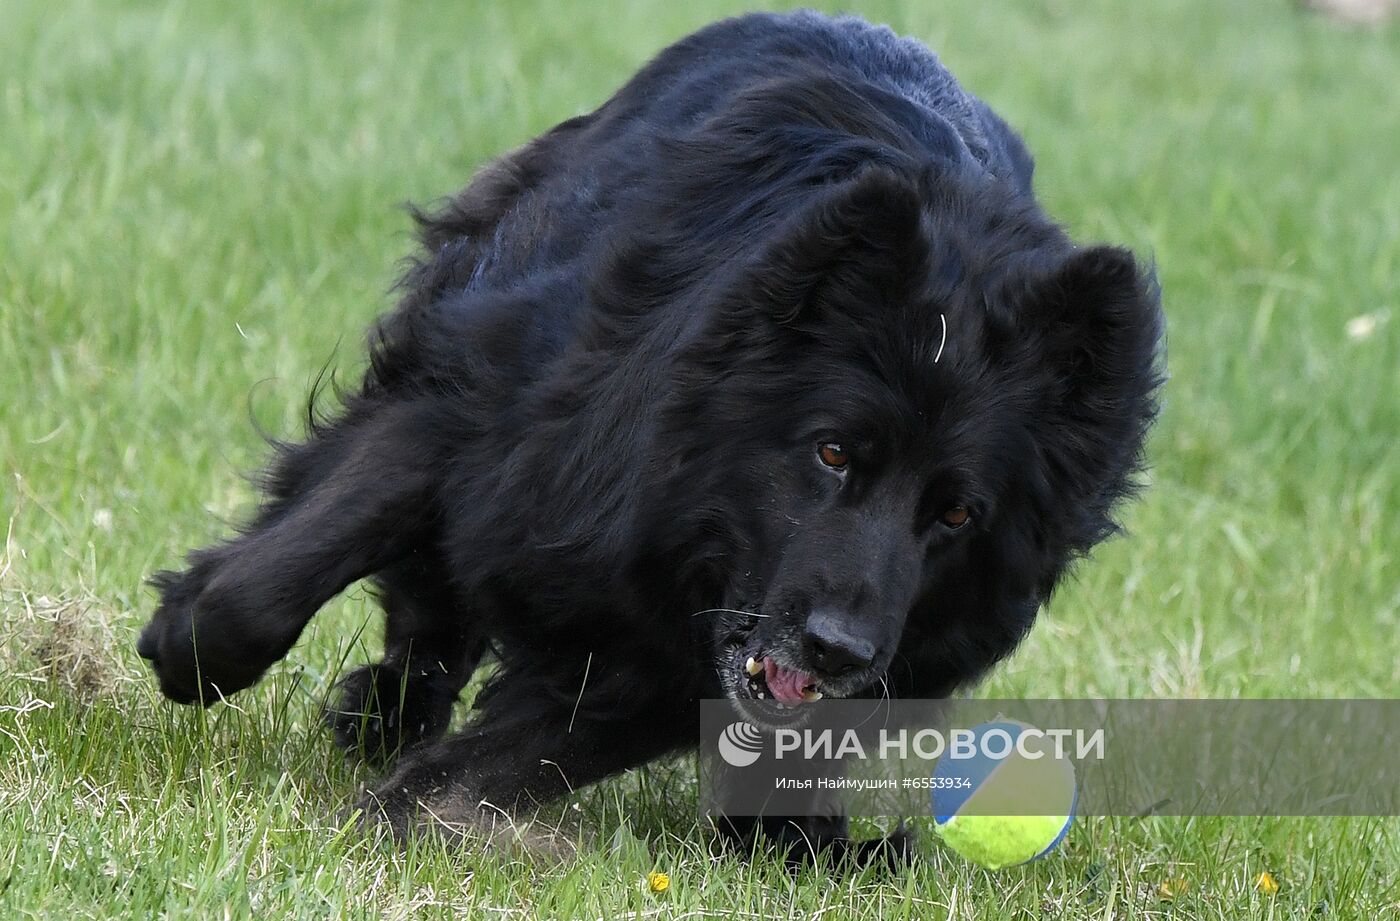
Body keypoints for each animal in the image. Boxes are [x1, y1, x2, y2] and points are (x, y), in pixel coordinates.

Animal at [136, 10, 1164, 862]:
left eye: (955, 516)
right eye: (832, 453)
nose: (838, 651)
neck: (683, 503)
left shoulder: (666, 668)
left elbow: (512, 755)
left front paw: (402, 819)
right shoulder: (474, 405)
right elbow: (270, 587)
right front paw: (185, 642)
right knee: (429, 591)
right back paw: (387, 707)